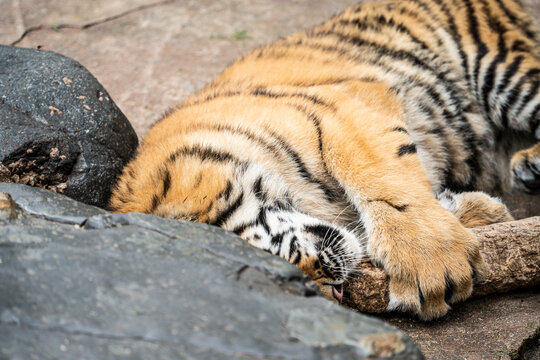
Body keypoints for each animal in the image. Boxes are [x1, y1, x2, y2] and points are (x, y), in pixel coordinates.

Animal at [109, 0, 540, 320]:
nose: (334, 293)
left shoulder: (340, 110)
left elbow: (382, 178)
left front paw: (433, 265)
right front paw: (483, 212)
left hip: (500, 68)